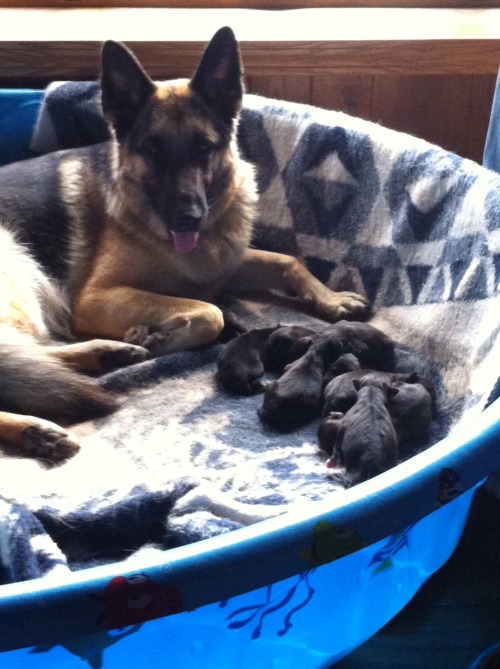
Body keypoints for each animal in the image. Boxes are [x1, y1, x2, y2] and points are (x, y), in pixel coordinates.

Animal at [0, 28, 368, 462]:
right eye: (153, 149)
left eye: (203, 147)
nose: (189, 218)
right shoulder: (95, 298)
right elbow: (211, 312)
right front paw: (162, 338)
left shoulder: (224, 263)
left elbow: (287, 260)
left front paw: (330, 298)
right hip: (21, 284)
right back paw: (33, 427)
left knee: (28, 356)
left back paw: (107, 354)